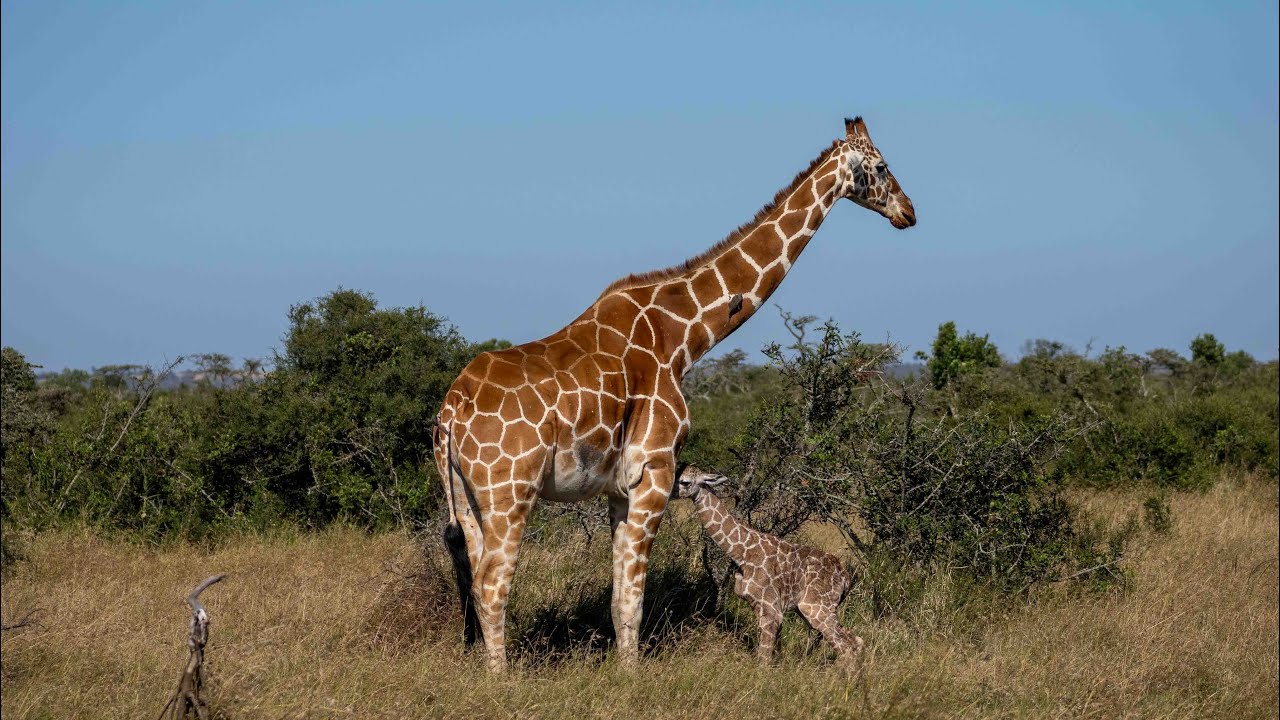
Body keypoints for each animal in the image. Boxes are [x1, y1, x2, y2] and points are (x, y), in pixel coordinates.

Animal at [674, 466, 864, 670]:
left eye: (684, 481)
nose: (669, 492)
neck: (742, 553)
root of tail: (846, 579)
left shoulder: (770, 608)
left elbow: (763, 660)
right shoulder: (766, 608)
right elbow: (773, 655)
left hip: (814, 607)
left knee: (847, 647)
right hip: (819, 609)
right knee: (856, 641)